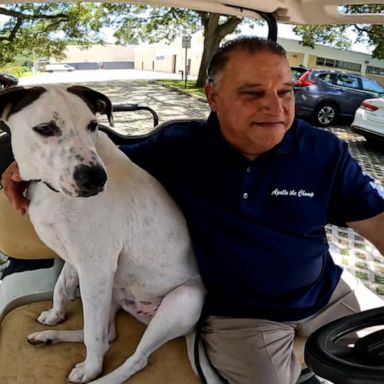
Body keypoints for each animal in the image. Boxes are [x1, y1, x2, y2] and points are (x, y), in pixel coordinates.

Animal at [0, 86, 220, 384]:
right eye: (45, 128)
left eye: (92, 125)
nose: (96, 179)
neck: (51, 190)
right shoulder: (78, 260)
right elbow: (61, 288)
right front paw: (55, 316)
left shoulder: (96, 268)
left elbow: (92, 337)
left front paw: (90, 370)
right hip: (112, 290)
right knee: (108, 336)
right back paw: (48, 336)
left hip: (181, 300)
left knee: (133, 357)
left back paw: (101, 377)